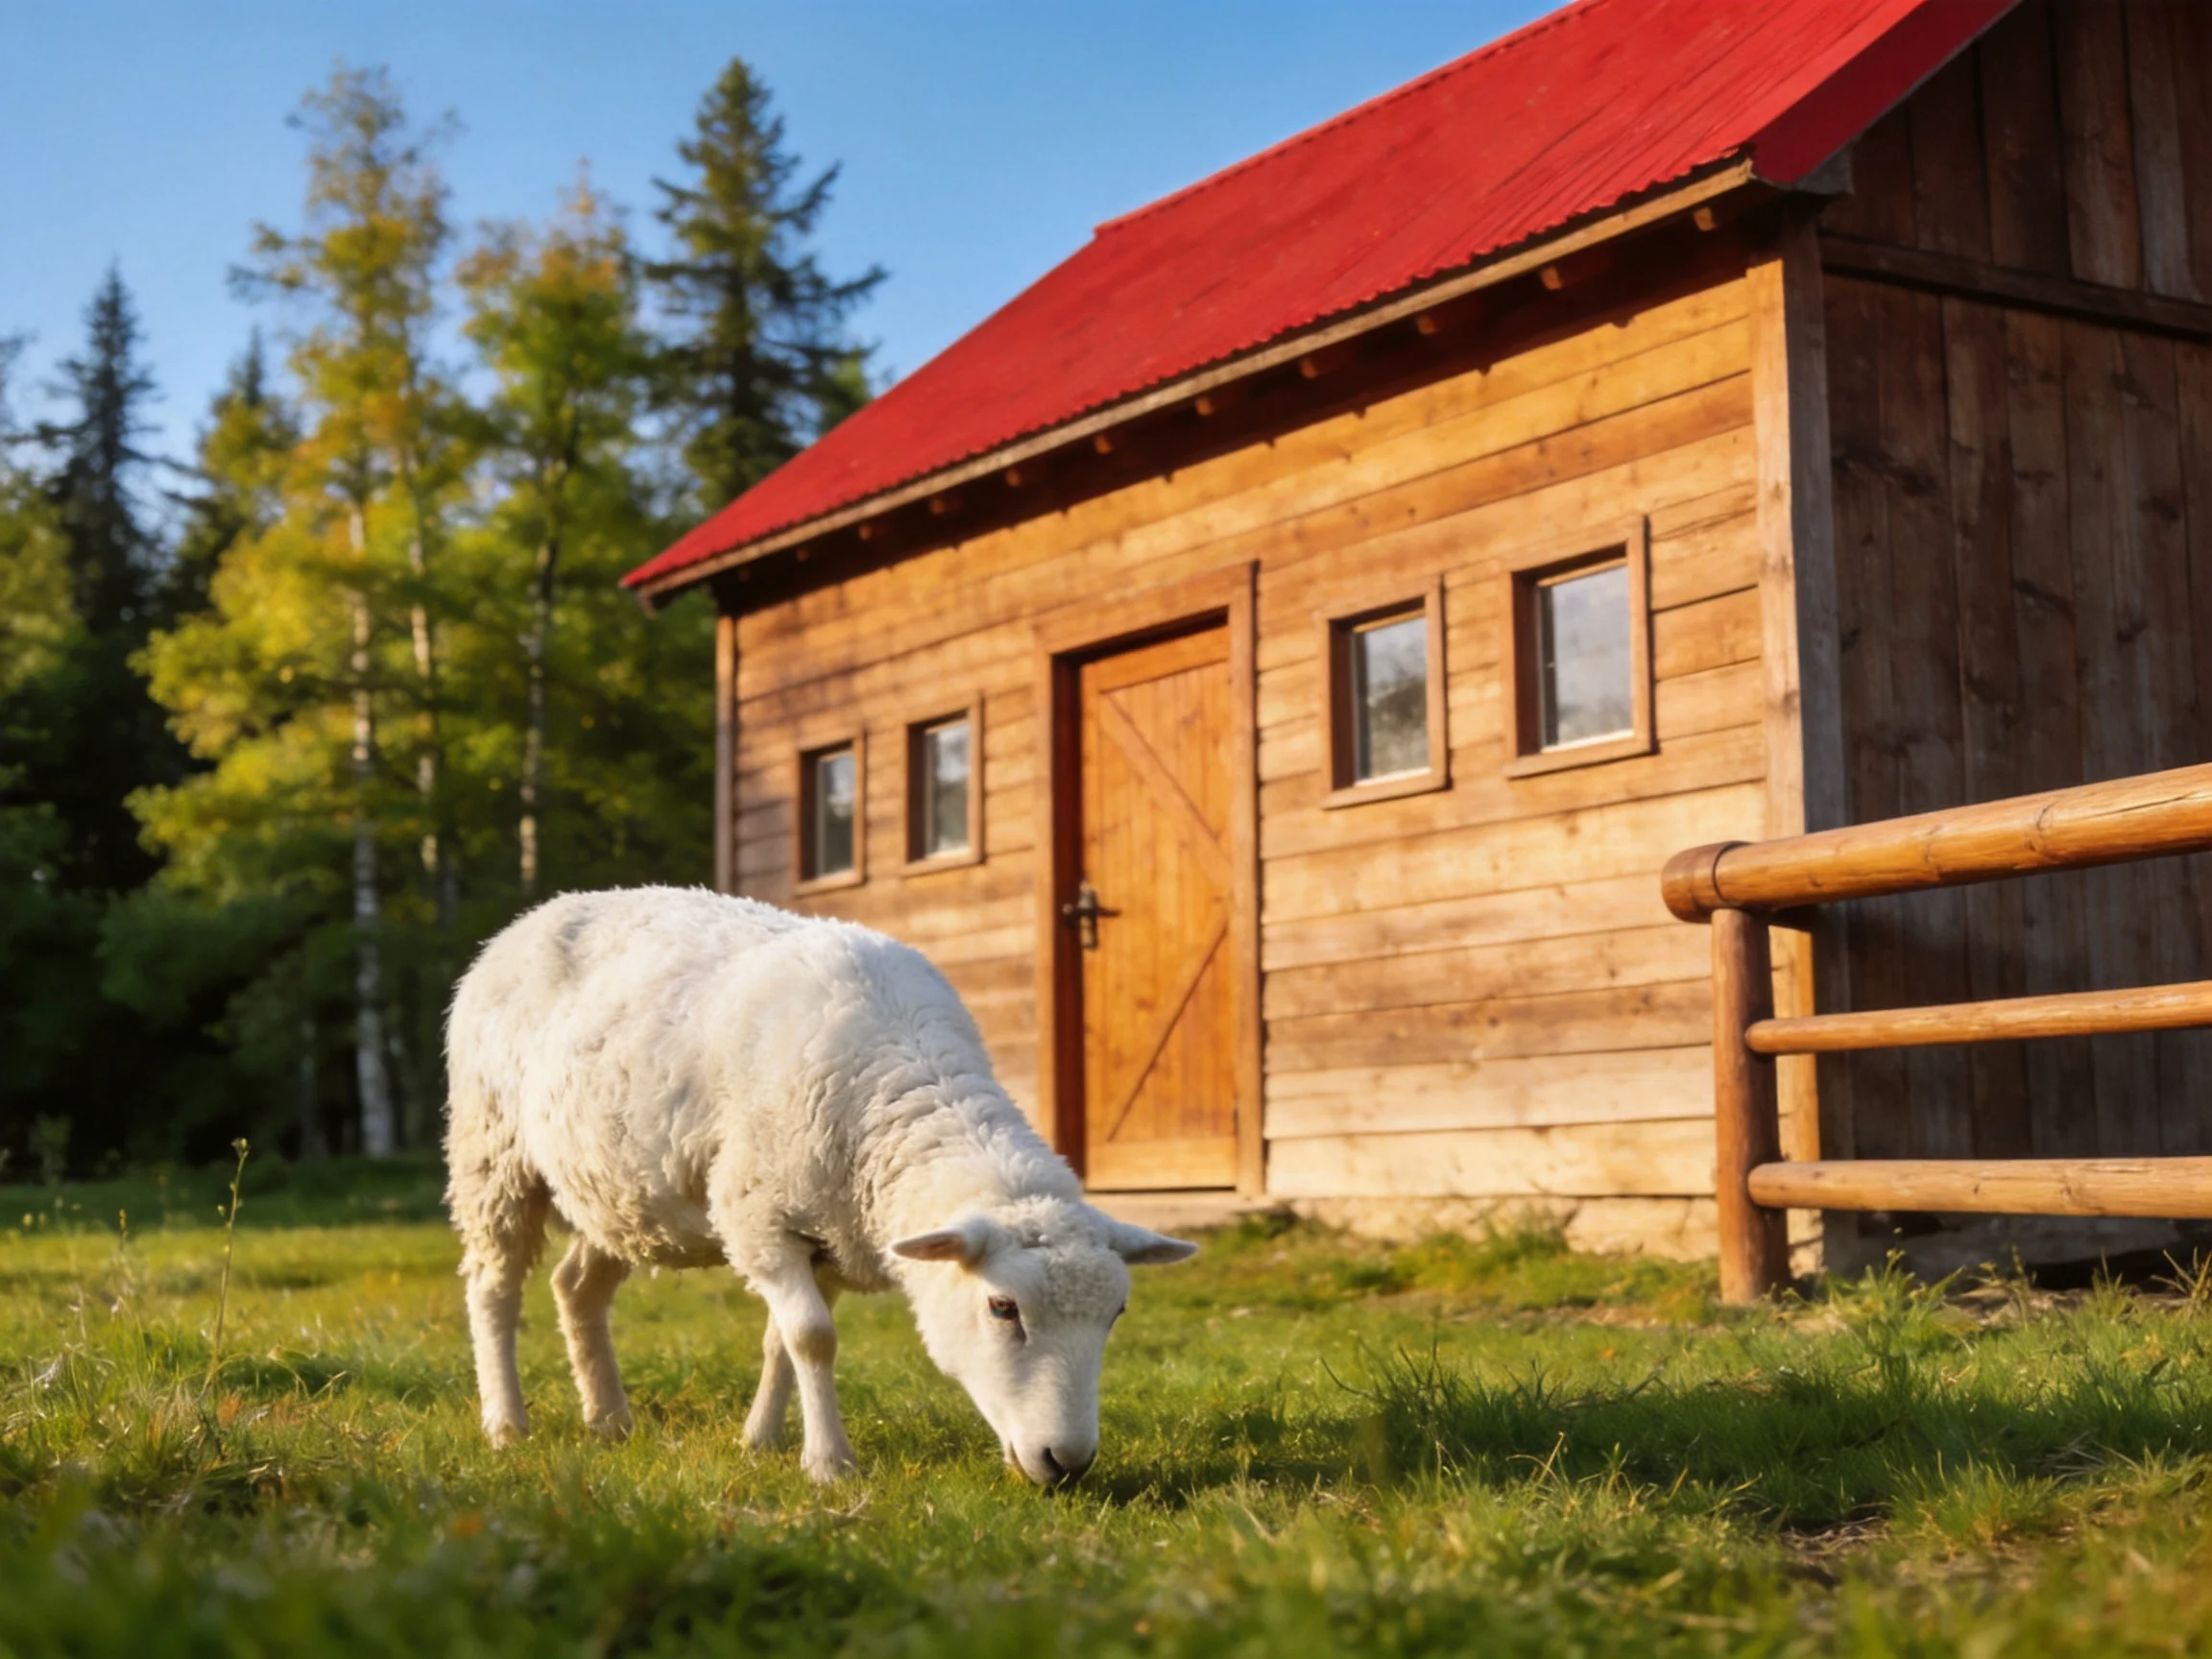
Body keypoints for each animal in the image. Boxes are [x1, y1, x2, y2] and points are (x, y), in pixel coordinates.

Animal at [443, 885, 1197, 1485]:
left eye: (1116, 1315)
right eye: (1002, 1308)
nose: (1067, 1464)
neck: (903, 1082)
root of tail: (534, 914)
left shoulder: (832, 1233)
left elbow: (783, 1340)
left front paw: (760, 1442)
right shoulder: (758, 1219)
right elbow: (811, 1338)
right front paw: (829, 1464)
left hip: (618, 1189)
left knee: (577, 1288)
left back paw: (609, 1421)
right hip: (492, 1151)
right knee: (493, 1289)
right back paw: (506, 1425)